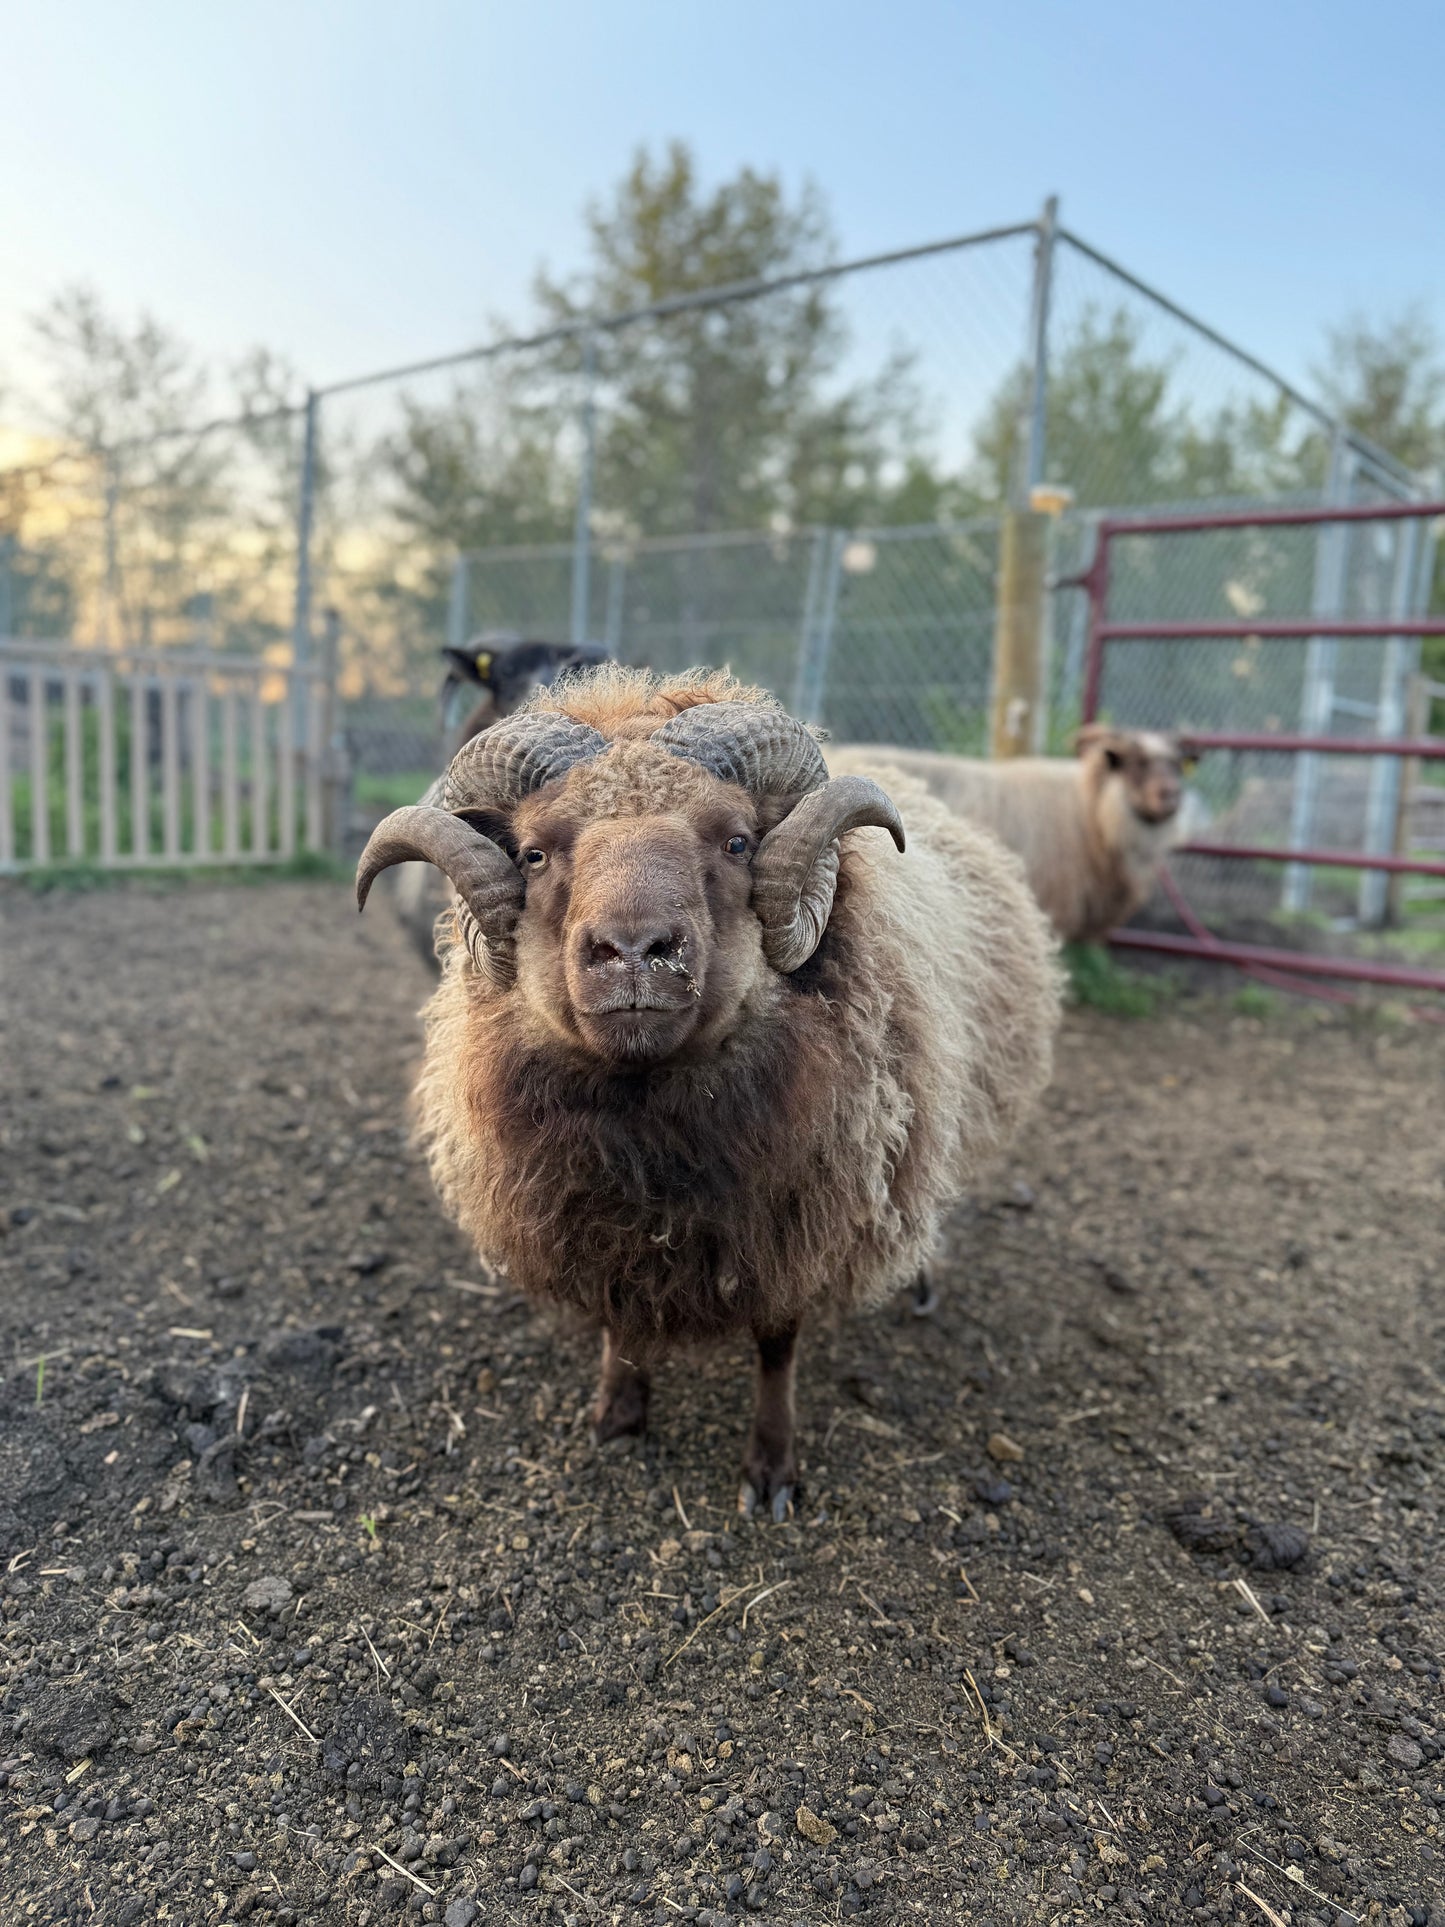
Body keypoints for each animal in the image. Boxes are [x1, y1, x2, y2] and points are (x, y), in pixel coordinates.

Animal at [355, 666, 1061, 1517]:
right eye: (532, 853)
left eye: (736, 841)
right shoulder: (600, 1221)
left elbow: (777, 1346)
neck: (654, 1129)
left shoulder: (799, 1220)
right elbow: (619, 1320)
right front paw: (617, 1415)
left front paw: (771, 1468)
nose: (633, 951)